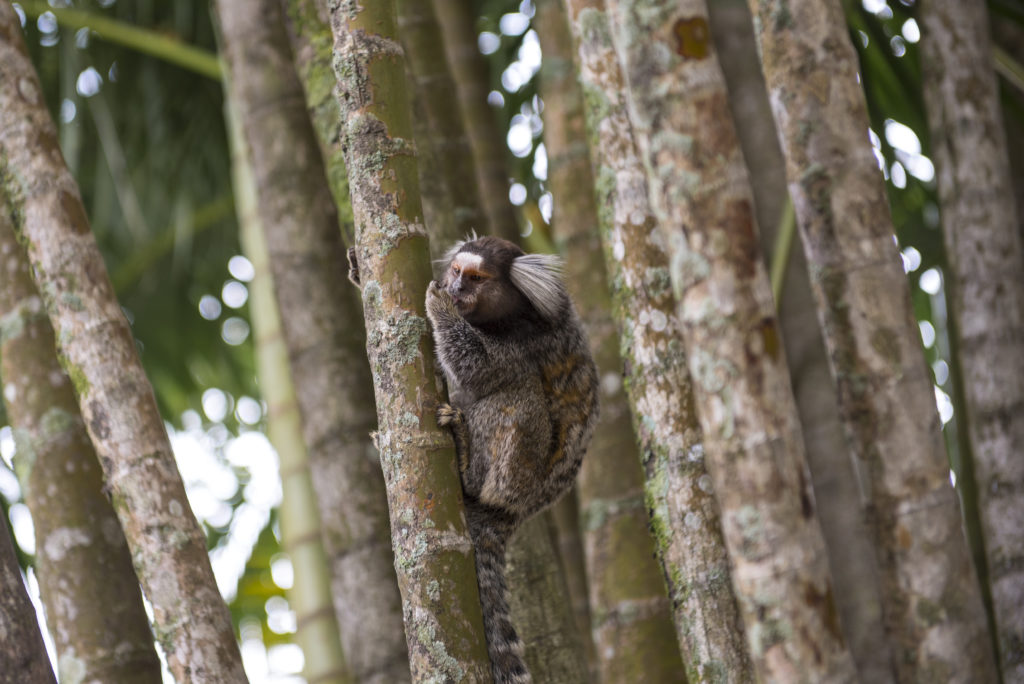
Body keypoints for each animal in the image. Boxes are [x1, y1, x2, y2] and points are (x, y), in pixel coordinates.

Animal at [425, 236, 598, 684]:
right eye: (456, 271)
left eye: (476, 279)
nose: (455, 289)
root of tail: (513, 514)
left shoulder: (524, 343)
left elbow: (481, 370)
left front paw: (440, 308)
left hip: (514, 478)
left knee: (518, 395)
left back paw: (466, 461)